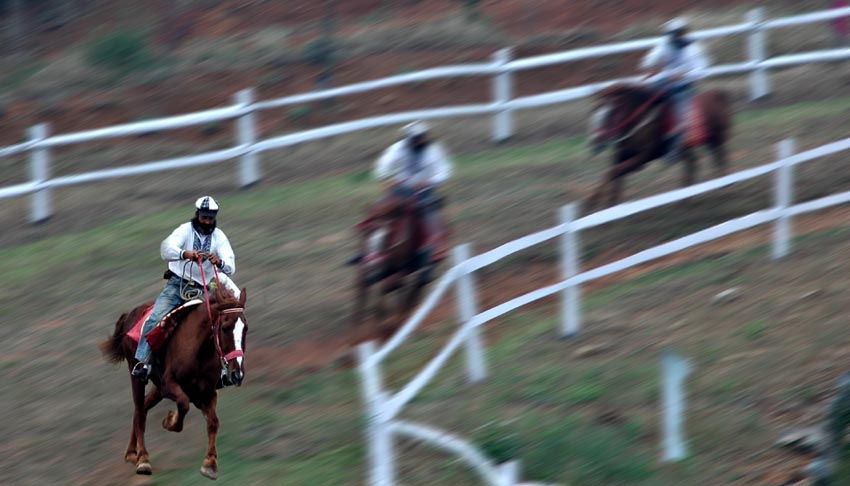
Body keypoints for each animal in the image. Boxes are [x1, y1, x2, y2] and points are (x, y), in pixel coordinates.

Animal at [99, 284, 247, 478]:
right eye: (225, 327)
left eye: (245, 329)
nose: (237, 374)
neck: (198, 348)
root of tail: (131, 314)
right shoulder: (169, 384)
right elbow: (183, 404)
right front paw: (169, 420)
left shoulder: (206, 393)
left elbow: (213, 422)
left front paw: (210, 464)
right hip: (137, 377)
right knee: (139, 411)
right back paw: (143, 459)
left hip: (157, 387)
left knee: (143, 407)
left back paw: (132, 453)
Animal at [584, 82, 728, 211]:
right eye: (594, 111)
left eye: (609, 113)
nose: (596, 141)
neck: (640, 121)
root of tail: (719, 93)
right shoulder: (622, 154)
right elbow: (614, 177)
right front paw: (607, 206)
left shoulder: (645, 156)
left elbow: (613, 172)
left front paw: (592, 202)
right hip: (693, 146)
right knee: (693, 163)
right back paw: (686, 198)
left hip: (717, 138)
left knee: (720, 159)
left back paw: (722, 187)